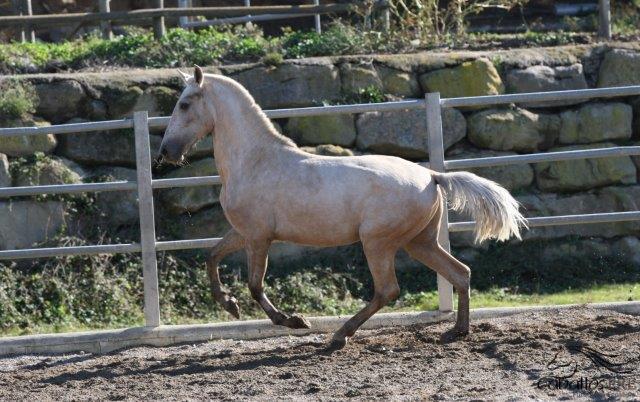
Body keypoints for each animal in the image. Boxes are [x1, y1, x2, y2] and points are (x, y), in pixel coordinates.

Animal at [159, 66, 524, 348]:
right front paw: (230, 305)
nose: (166, 152)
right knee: (460, 273)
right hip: (419, 241)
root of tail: (432, 176)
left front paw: (295, 321)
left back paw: (339, 336)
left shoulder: (258, 237)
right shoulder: (242, 232)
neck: (254, 161)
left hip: (378, 242)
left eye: (184, 103)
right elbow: (211, 257)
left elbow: (255, 285)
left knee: (388, 289)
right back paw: (457, 331)